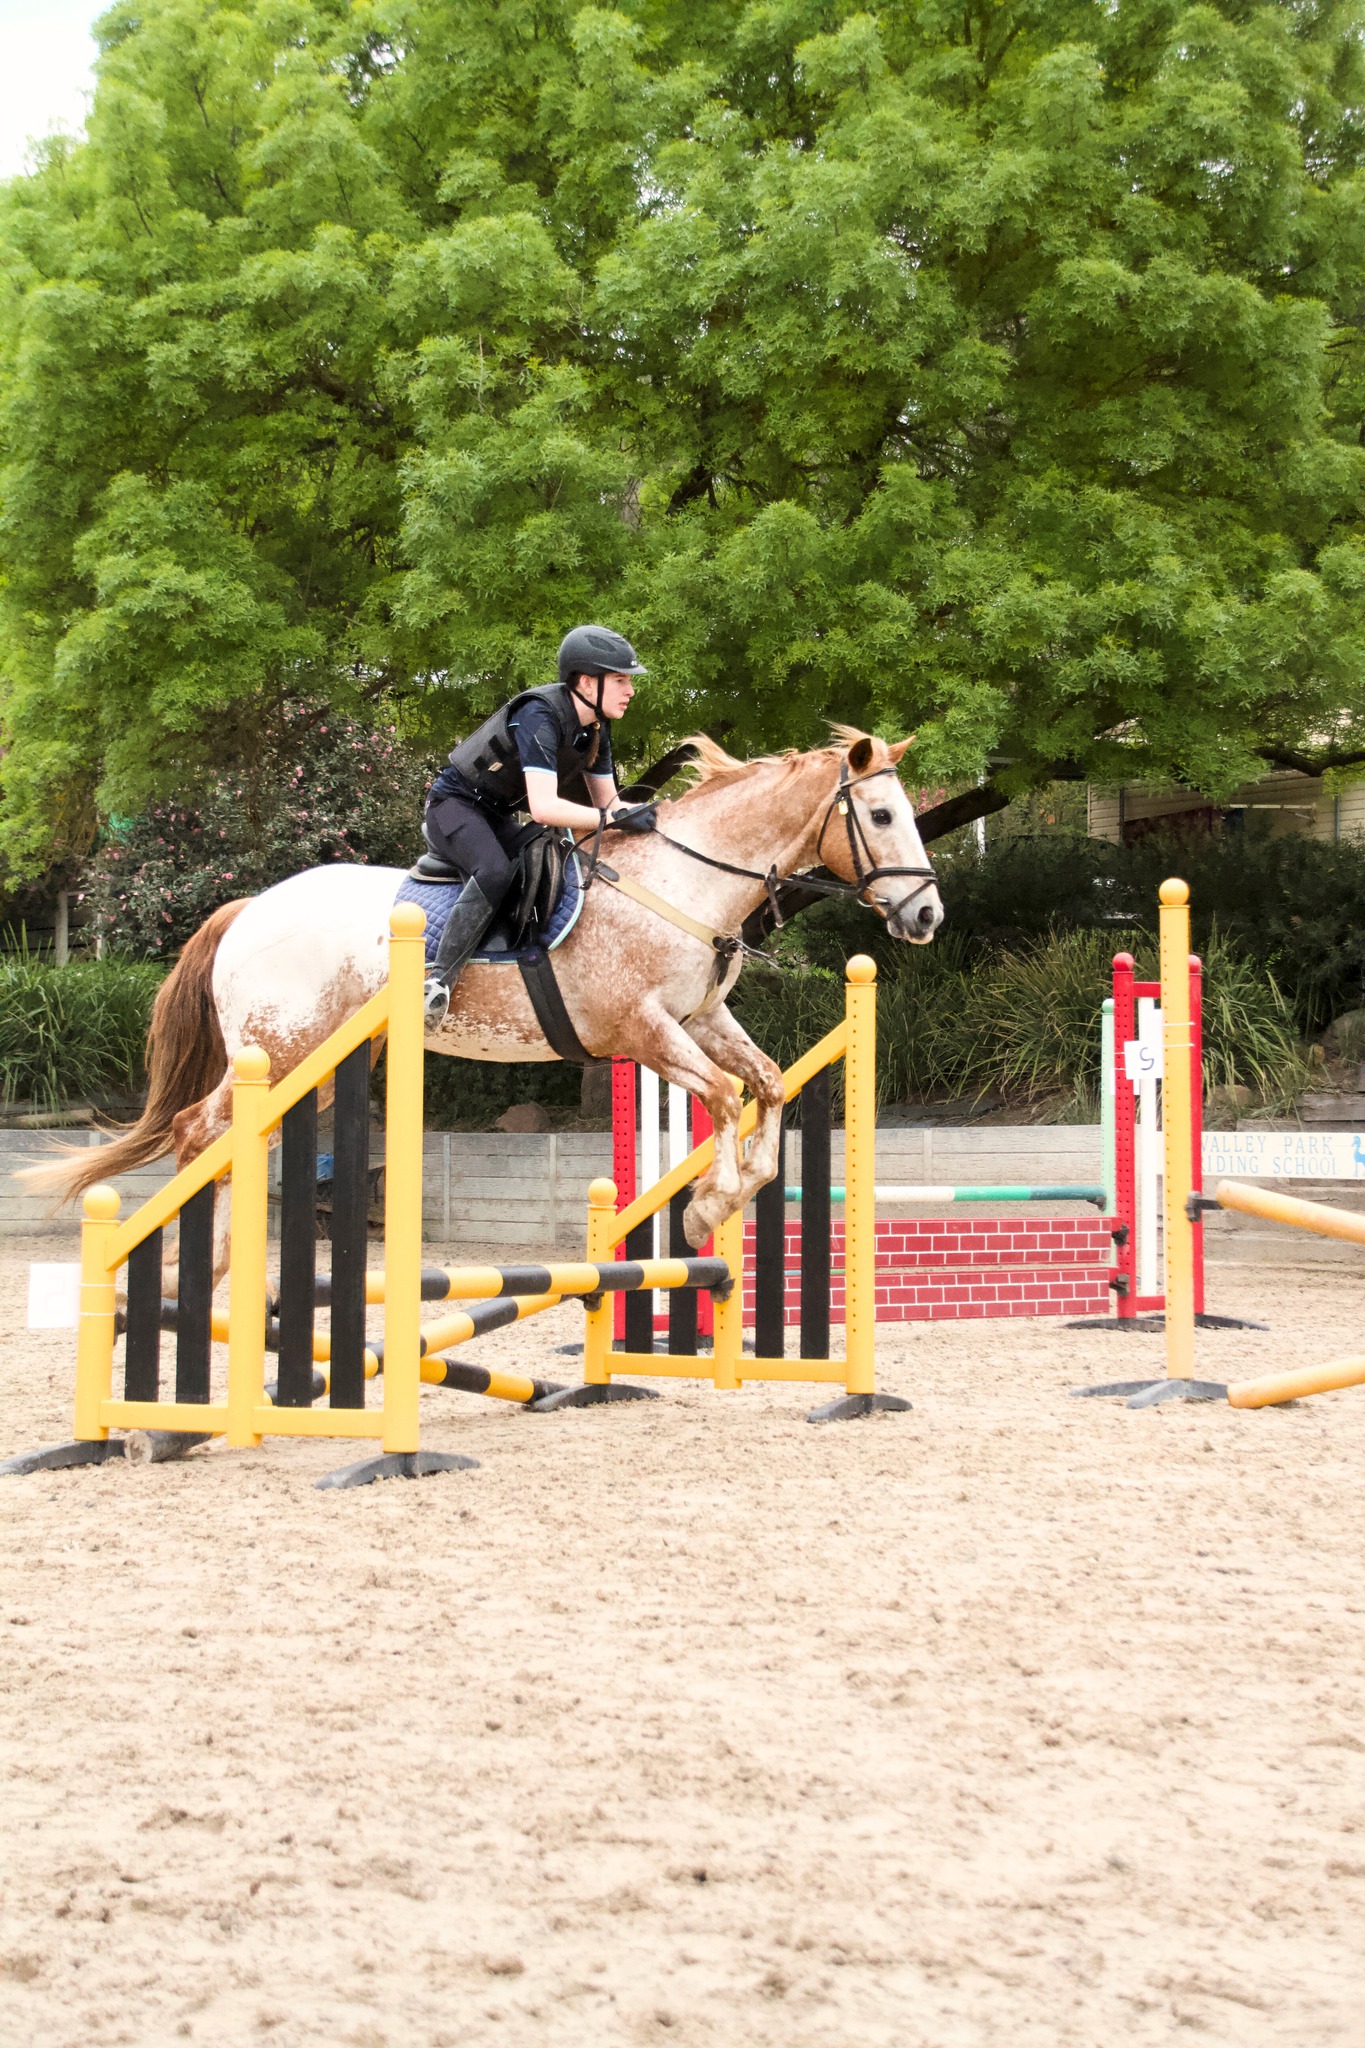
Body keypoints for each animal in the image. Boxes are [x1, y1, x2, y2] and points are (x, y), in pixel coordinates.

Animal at [34, 730, 942, 1263]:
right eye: (882, 815)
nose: (927, 915)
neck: (682, 880)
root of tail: (249, 906)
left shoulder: (701, 1018)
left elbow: (767, 1085)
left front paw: (736, 1190)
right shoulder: (642, 1030)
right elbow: (722, 1095)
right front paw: (703, 1209)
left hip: (314, 1064)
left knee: (220, 1136)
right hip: (285, 1049)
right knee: (198, 1130)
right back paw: (198, 1269)